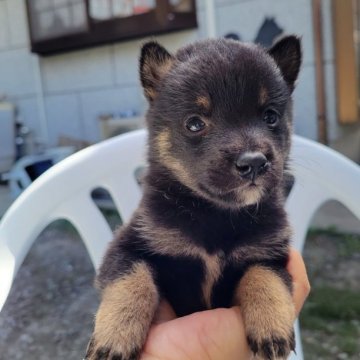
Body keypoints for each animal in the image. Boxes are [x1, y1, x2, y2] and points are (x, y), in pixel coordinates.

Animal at [86, 34, 302, 360]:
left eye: (270, 116)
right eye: (195, 123)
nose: (254, 162)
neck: (216, 215)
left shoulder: (269, 253)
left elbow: (265, 278)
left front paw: (271, 327)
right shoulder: (128, 244)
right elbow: (131, 279)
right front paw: (115, 336)